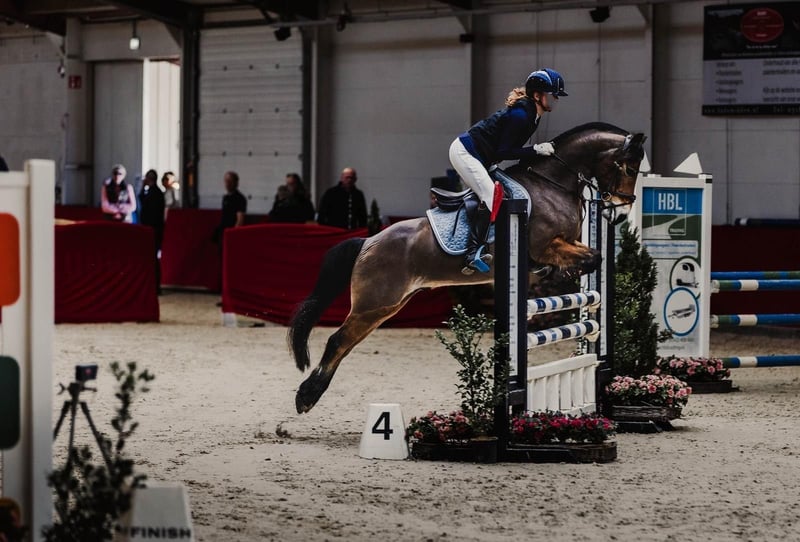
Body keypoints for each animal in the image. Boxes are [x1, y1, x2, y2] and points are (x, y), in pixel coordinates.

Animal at [289, 122, 646, 414]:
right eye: (628, 168)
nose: (618, 214)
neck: (553, 184)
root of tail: (367, 242)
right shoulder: (544, 247)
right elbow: (591, 258)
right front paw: (560, 275)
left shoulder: (565, 244)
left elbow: (593, 257)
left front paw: (564, 277)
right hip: (374, 304)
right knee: (338, 341)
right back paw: (306, 397)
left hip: (388, 305)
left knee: (346, 344)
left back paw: (310, 393)